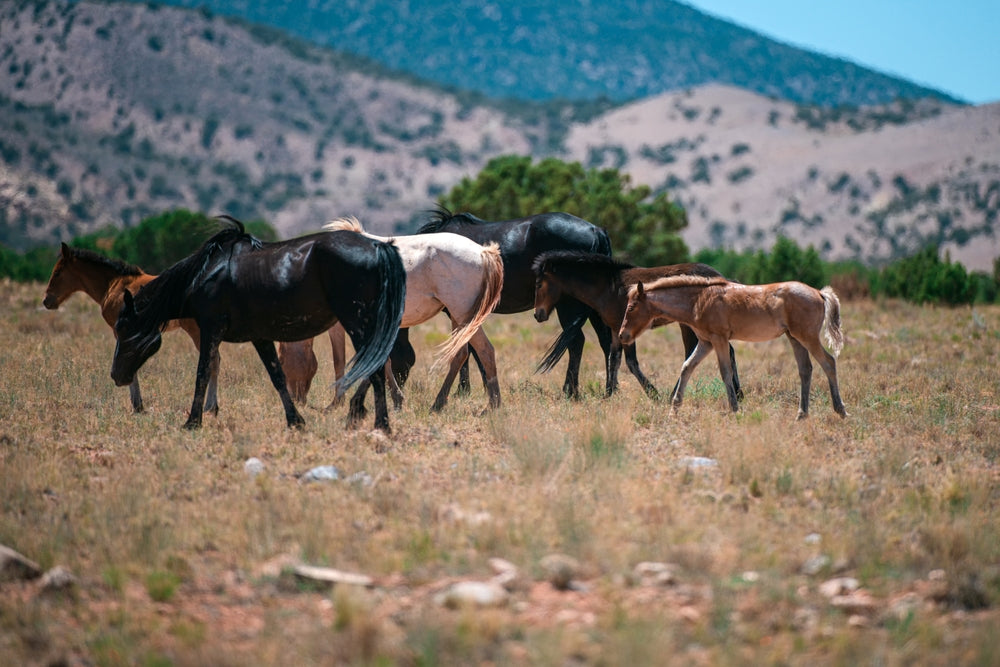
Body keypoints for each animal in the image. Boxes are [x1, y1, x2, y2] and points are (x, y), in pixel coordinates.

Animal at [43, 243, 219, 414]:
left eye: (57, 272)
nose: (46, 301)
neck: (113, 285)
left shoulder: (121, 331)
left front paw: (137, 405)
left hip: (196, 330)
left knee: (213, 360)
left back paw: (210, 407)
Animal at [111, 217, 407, 431]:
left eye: (123, 329)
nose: (116, 376)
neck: (206, 274)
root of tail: (378, 247)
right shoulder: (260, 337)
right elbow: (277, 376)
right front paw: (295, 421)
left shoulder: (210, 331)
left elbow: (202, 373)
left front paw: (192, 422)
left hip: (358, 325)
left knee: (376, 370)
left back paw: (380, 425)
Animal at [278, 216, 504, 414]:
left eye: (282, 360)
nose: (295, 400)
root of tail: (483, 251)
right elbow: (381, 361)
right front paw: (396, 401)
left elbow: (340, 360)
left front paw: (336, 403)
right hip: (460, 319)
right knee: (460, 355)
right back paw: (439, 404)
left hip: (463, 316)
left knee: (485, 350)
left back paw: (492, 406)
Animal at [531, 251, 741, 400]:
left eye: (539, 284)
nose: (538, 314)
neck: (609, 287)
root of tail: (723, 279)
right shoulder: (615, 329)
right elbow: (613, 359)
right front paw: (609, 394)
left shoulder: (626, 330)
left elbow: (631, 363)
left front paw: (653, 394)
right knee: (720, 351)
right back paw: (737, 394)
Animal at [619, 276, 846, 419]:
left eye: (631, 307)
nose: (622, 336)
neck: (698, 300)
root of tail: (819, 293)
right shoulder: (706, 342)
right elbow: (686, 368)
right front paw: (673, 411)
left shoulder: (718, 340)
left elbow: (725, 372)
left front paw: (735, 410)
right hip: (794, 338)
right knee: (805, 369)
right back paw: (801, 415)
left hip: (807, 337)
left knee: (828, 362)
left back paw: (840, 410)